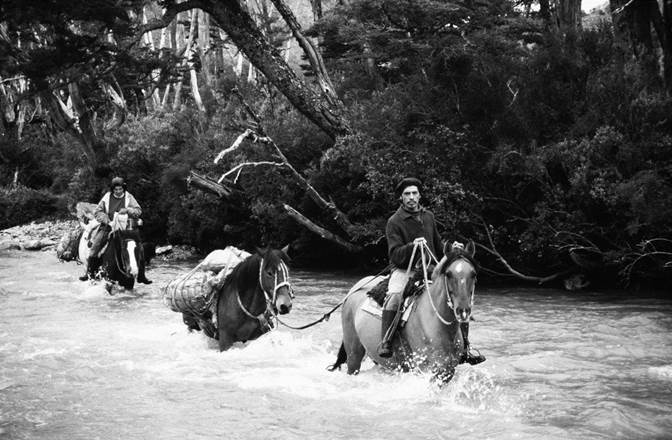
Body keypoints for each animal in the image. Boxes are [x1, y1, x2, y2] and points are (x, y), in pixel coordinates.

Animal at [330, 241, 478, 382]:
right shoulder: (424, 368)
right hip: (353, 354)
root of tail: (355, 288)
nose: (463, 310)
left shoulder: (447, 370)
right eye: (448, 274)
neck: (436, 322)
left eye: (473, 274)